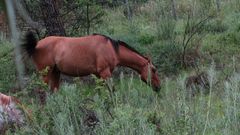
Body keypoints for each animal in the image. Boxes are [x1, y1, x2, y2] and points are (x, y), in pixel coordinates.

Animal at [22, 32, 161, 92]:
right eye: (153, 70)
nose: (158, 87)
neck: (111, 48)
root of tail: (36, 45)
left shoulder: (98, 75)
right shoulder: (104, 73)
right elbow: (112, 90)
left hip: (56, 72)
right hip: (45, 73)